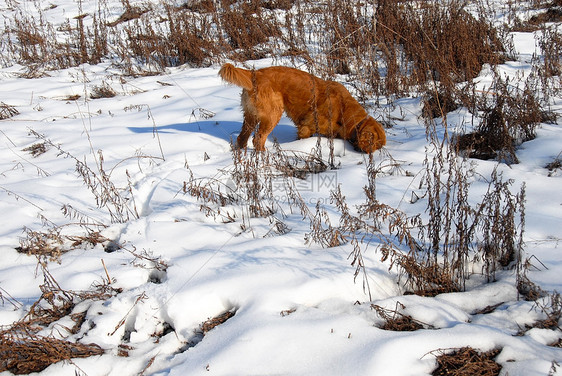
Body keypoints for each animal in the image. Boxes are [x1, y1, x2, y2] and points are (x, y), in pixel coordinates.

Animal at [217, 63, 382, 153]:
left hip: (251, 116)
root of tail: (255, 73)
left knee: (242, 137)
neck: (344, 108)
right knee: (258, 139)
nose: (370, 154)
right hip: (273, 114)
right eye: (373, 141)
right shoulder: (307, 126)